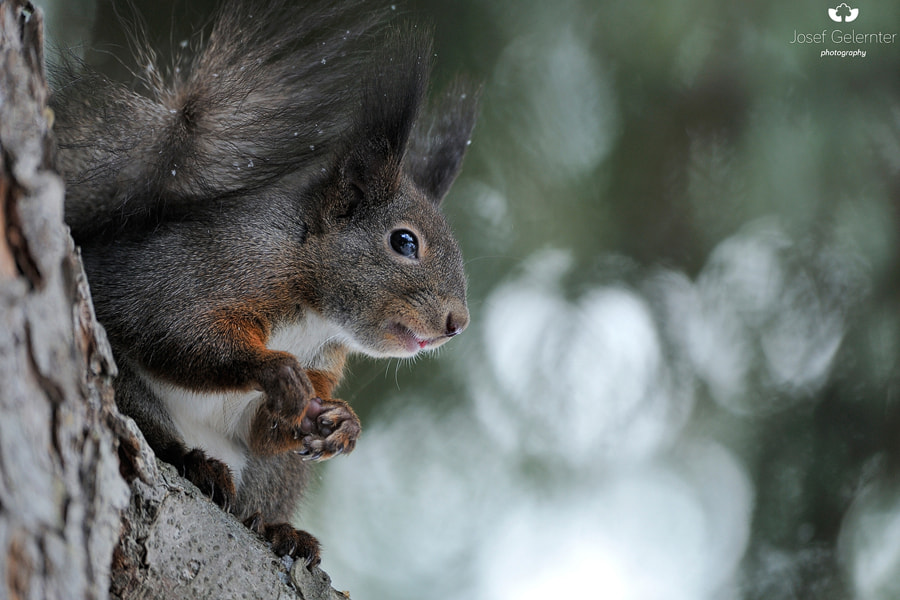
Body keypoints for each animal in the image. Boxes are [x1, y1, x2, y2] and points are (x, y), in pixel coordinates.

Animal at [50, 0, 477, 566]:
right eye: (404, 242)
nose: (458, 323)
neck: (316, 311)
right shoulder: (206, 270)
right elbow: (176, 331)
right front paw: (274, 370)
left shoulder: (324, 358)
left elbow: (273, 424)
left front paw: (342, 422)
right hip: (117, 377)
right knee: (155, 431)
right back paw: (197, 462)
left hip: (275, 474)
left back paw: (279, 530)